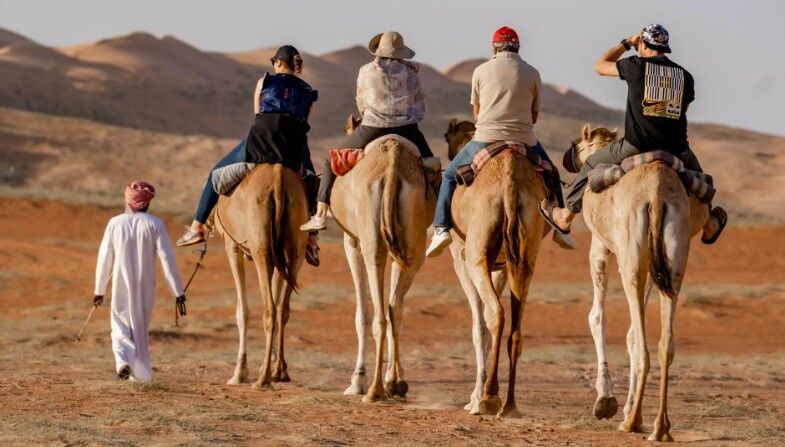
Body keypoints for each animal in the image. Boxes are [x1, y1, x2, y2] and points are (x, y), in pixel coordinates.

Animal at [213, 164, 308, 389]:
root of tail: (278, 178)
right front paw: (271, 366)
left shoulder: (232, 245)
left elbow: (242, 312)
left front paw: (239, 374)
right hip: (295, 249)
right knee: (282, 308)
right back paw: (279, 371)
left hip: (261, 248)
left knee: (269, 309)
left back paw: (263, 379)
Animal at [330, 115, 436, 403]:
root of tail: (392, 168)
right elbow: (392, 307)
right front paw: (395, 381)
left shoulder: (351, 243)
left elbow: (362, 316)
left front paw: (356, 382)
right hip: (412, 248)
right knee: (394, 308)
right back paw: (393, 383)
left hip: (371, 244)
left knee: (378, 314)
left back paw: (374, 390)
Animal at [443, 120, 547, 417]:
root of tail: (510, 185)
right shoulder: (500, 265)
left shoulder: (462, 261)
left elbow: (478, 328)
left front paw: (474, 399)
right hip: (525, 257)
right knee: (516, 329)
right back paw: (509, 404)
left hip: (476, 257)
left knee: (495, 314)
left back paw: (489, 397)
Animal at [573, 124, 710, 442]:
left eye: (578, 146)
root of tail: (656, 193)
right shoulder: (651, 263)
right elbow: (632, 333)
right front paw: (622, 405)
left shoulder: (600, 247)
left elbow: (597, 318)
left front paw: (606, 401)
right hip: (671, 260)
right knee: (663, 342)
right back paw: (660, 427)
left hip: (630, 258)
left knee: (641, 340)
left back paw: (633, 421)